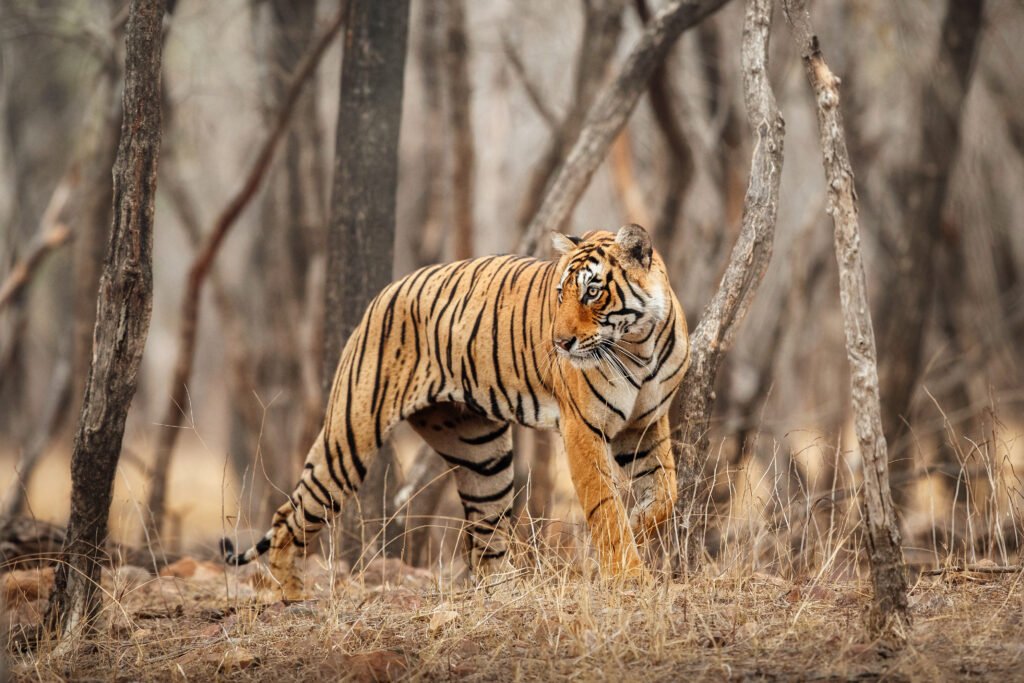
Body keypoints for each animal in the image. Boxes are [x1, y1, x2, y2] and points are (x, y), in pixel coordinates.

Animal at [221, 224, 690, 598]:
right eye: (560, 294)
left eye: (592, 291)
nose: (559, 343)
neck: (638, 345)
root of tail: (385, 291)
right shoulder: (583, 429)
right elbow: (604, 506)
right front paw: (628, 576)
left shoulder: (645, 425)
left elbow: (665, 492)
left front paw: (640, 522)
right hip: (349, 440)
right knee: (291, 514)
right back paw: (291, 595)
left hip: (482, 456)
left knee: (484, 539)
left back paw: (505, 595)